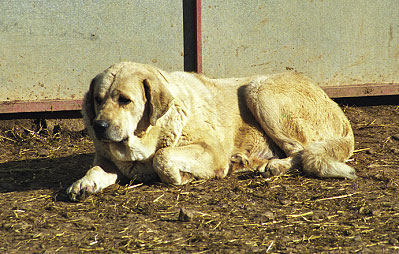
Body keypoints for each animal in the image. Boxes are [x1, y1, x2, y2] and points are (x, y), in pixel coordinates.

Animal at [67, 61, 358, 200]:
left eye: (125, 100)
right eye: (98, 99)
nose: (99, 126)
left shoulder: (211, 150)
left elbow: (163, 157)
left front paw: (180, 176)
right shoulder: (109, 161)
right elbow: (96, 169)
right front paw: (83, 183)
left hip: (258, 90)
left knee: (301, 151)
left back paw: (273, 166)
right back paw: (246, 161)